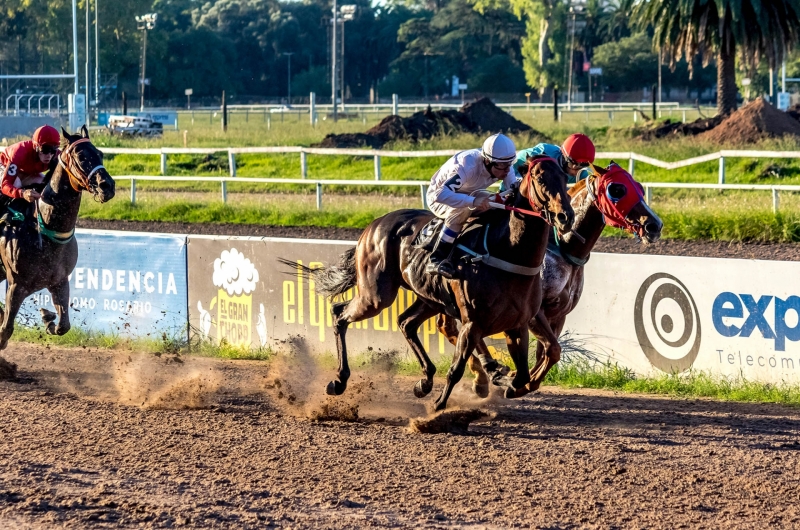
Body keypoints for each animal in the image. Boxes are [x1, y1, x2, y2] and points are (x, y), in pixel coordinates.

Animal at [0, 126, 115, 352]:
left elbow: (63, 326)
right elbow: (5, 330)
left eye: (100, 154)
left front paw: (47, 318)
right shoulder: (16, 285)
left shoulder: (60, 281)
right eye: (81, 156)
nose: (107, 186)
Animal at [304, 159, 572, 410]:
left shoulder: (518, 323)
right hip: (376, 295)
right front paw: (438, 407)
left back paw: (424, 381)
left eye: (564, 176)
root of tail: (374, 223)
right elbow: (456, 369)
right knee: (340, 314)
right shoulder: (472, 322)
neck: (507, 253)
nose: (564, 216)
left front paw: (505, 381)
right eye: (539, 178)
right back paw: (339, 380)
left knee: (405, 323)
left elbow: (525, 373)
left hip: (428, 298)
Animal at [438, 163, 664, 394]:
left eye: (639, 187)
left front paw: (524, 381)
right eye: (617, 190)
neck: (563, 249)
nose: (654, 225)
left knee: (450, 327)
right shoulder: (534, 312)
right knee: (457, 328)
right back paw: (485, 374)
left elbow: (546, 351)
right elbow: (552, 349)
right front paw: (519, 383)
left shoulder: (558, 314)